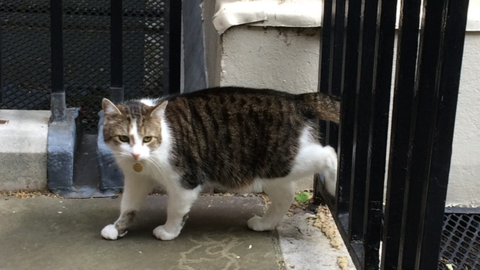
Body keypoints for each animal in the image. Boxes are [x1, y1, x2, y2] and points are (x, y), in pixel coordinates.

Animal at [99, 86, 340, 240]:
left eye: (147, 138)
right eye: (123, 138)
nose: (136, 155)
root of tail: (296, 100)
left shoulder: (185, 180)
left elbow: (176, 209)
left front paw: (168, 232)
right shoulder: (136, 179)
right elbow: (128, 205)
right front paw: (118, 228)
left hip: (283, 160)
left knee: (329, 154)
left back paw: (334, 183)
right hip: (272, 170)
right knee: (286, 196)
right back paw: (264, 224)